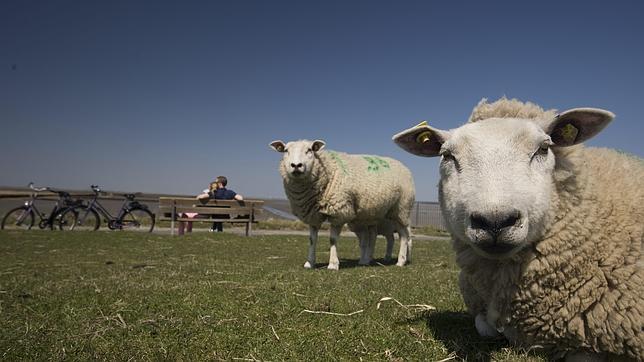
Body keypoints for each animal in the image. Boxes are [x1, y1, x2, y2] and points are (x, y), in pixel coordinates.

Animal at [270, 140, 416, 270]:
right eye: (286, 150)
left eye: (310, 150)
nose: (296, 165)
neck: (327, 171)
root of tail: (404, 167)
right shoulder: (313, 216)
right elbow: (312, 240)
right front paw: (309, 263)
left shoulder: (338, 212)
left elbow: (333, 240)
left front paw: (333, 264)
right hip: (380, 215)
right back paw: (368, 261)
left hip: (401, 209)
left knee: (404, 236)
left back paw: (402, 261)